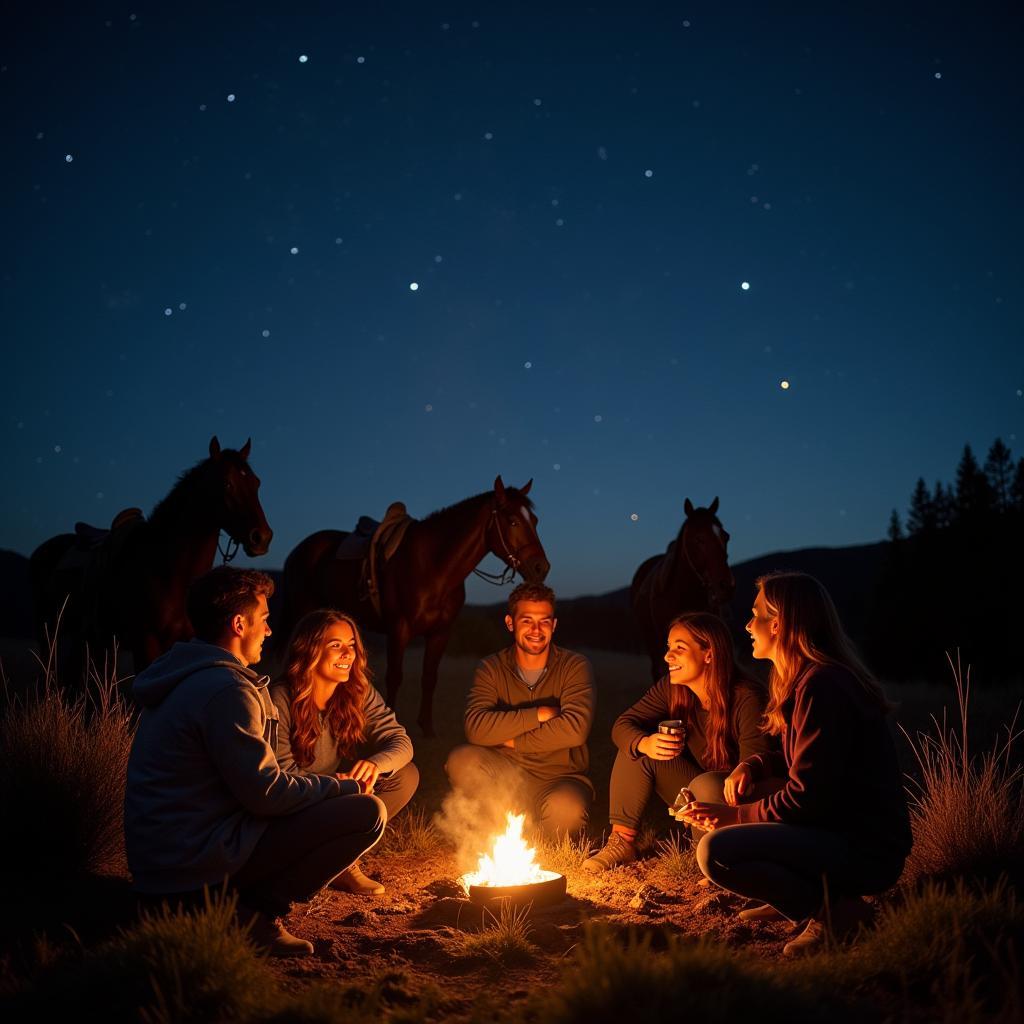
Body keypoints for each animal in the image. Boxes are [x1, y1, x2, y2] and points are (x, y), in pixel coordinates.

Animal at [30, 434, 272, 679]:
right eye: (226, 483)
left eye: (257, 483)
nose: (262, 537)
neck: (167, 569)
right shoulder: (145, 642)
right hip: (48, 631)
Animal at [280, 475, 548, 733]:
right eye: (512, 521)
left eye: (534, 520)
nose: (541, 568)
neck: (434, 565)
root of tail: (298, 550)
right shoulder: (399, 630)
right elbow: (394, 677)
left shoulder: (440, 633)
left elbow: (429, 677)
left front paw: (427, 727)